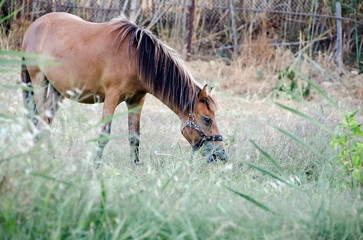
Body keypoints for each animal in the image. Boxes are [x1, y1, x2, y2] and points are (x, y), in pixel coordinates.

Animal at [21, 12, 229, 166]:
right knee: (39, 119)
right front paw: (96, 166)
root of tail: (34, 26)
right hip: (38, 82)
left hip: (58, 90)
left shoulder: (137, 101)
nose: (221, 156)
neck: (136, 57)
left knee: (45, 121)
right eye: (207, 119)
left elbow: (134, 136)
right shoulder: (111, 98)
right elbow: (104, 135)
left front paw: (135, 166)